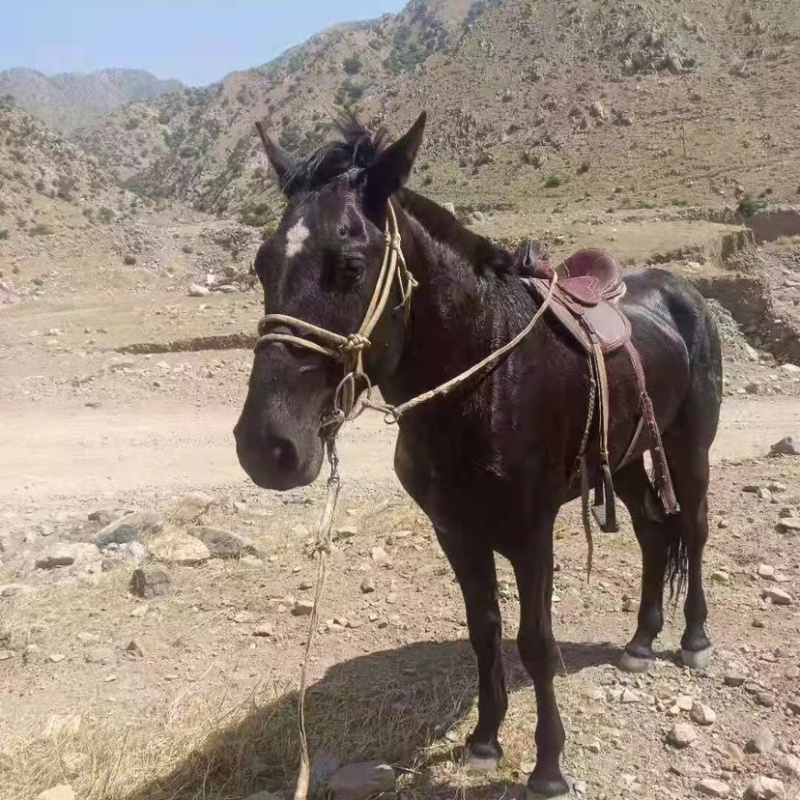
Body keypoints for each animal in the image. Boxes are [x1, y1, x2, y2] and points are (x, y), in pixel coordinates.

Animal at [233, 111, 723, 798]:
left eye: (350, 266)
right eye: (261, 264)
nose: (265, 446)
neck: (484, 377)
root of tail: (684, 293)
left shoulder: (530, 533)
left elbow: (535, 641)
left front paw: (548, 767)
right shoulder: (456, 531)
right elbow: (484, 629)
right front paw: (486, 740)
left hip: (687, 448)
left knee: (693, 530)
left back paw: (694, 639)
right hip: (625, 460)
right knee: (655, 531)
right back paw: (641, 641)